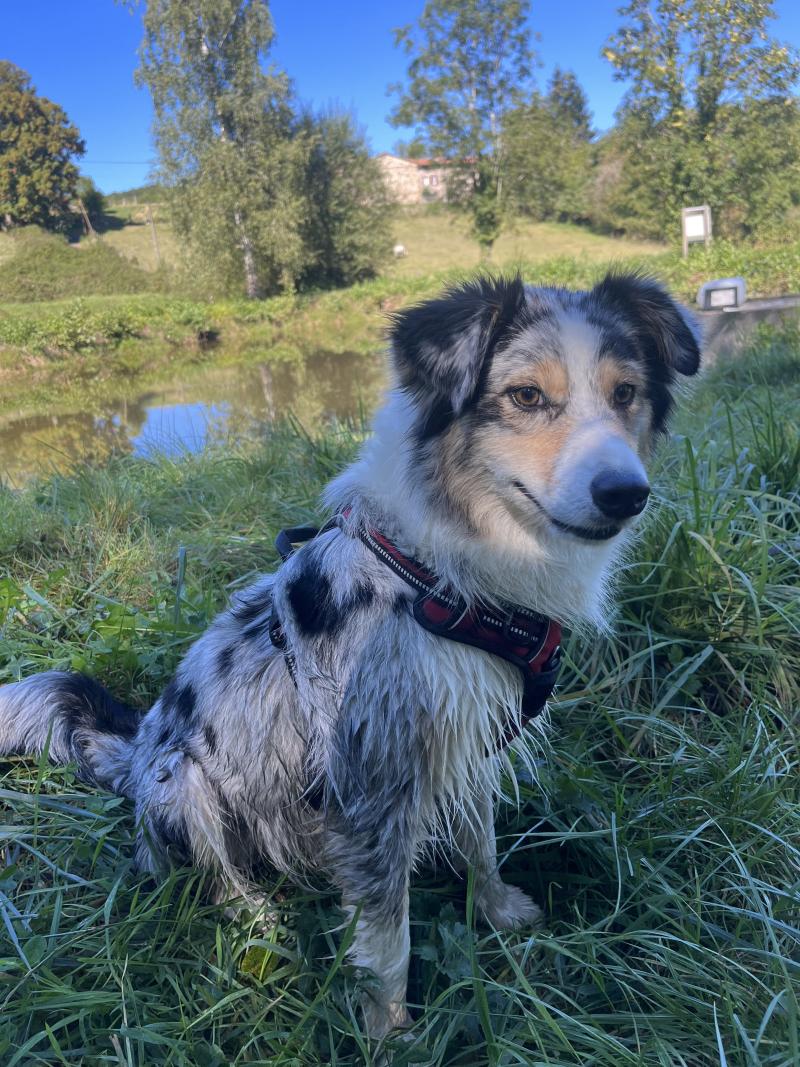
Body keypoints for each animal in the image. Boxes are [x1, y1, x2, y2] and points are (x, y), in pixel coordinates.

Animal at [0, 273, 699, 1041]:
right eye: (525, 396)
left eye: (625, 392)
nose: (625, 493)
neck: (440, 578)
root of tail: (131, 752)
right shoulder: (370, 786)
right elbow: (387, 937)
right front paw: (391, 1031)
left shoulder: (467, 737)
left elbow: (481, 840)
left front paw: (497, 911)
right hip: (182, 786)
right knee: (218, 879)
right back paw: (261, 924)